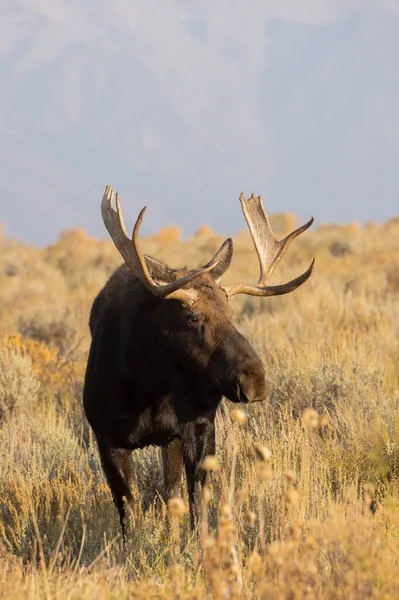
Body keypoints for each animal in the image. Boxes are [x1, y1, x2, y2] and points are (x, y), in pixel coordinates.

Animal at [83, 188, 316, 536]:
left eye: (231, 313)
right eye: (192, 318)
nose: (254, 378)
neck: (150, 385)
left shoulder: (200, 427)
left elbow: (198, 506)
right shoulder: (107, 437)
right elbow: (129, 515)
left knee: (173, 492)